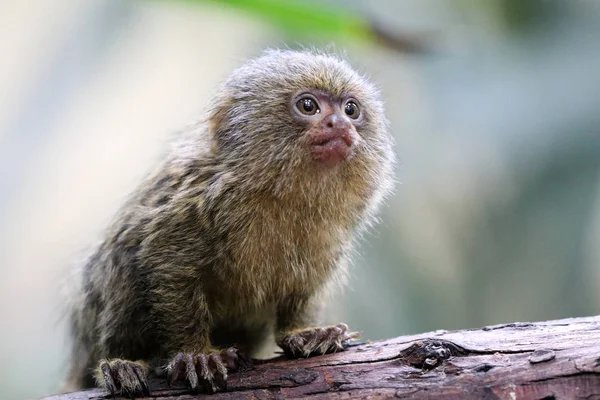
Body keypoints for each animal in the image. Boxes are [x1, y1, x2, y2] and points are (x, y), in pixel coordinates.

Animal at [63, 49, 396, 396]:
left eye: (351, 109)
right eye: (308, 106)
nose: (340, 123)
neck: (277, 195)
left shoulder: (327, 234)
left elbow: (303, 287)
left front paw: (303, 333)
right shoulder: (192, 205)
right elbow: (167, 268)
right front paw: (196, 354)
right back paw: (119, 365)